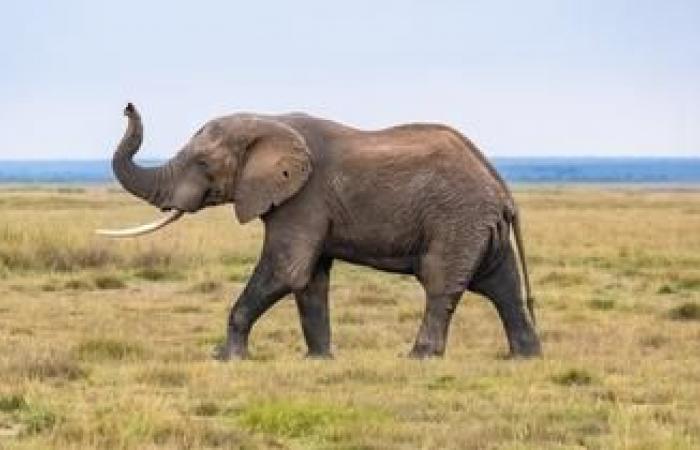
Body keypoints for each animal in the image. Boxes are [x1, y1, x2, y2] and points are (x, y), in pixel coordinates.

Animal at [101, 103, 540, 360]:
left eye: (204, 163)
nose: (126, 106)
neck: (270, 121)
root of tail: (501, 187)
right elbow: (310, 279)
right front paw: (318, 360)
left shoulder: (303, 199)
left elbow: (286, 269)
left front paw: (226, 358)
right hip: (478, 224)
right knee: (502, 284)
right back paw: (525, 357)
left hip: (456, 218)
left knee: (441, 283)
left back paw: (419, 357)